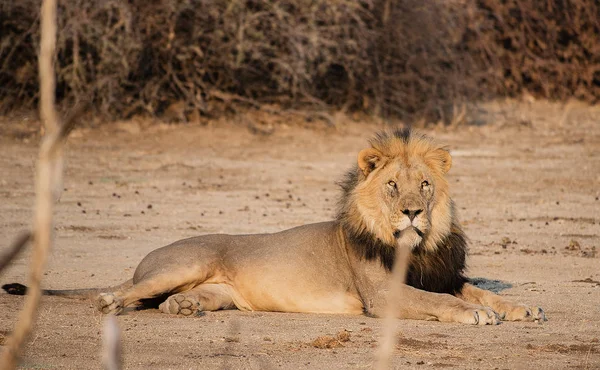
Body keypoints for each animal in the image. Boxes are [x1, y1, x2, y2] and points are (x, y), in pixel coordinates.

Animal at [1, 129, 544, 324]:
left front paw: (522, 308)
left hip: (215, 290)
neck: (418, 244)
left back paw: (184, 308)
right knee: (124, 292)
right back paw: (111, 301)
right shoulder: (382, 294)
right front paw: (477, 315)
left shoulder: (441, 274)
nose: (412, 212)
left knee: (169, 300)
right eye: (393, 186)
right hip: (182, 263)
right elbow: (445, 303)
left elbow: (474, 290)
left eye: (425, 185)